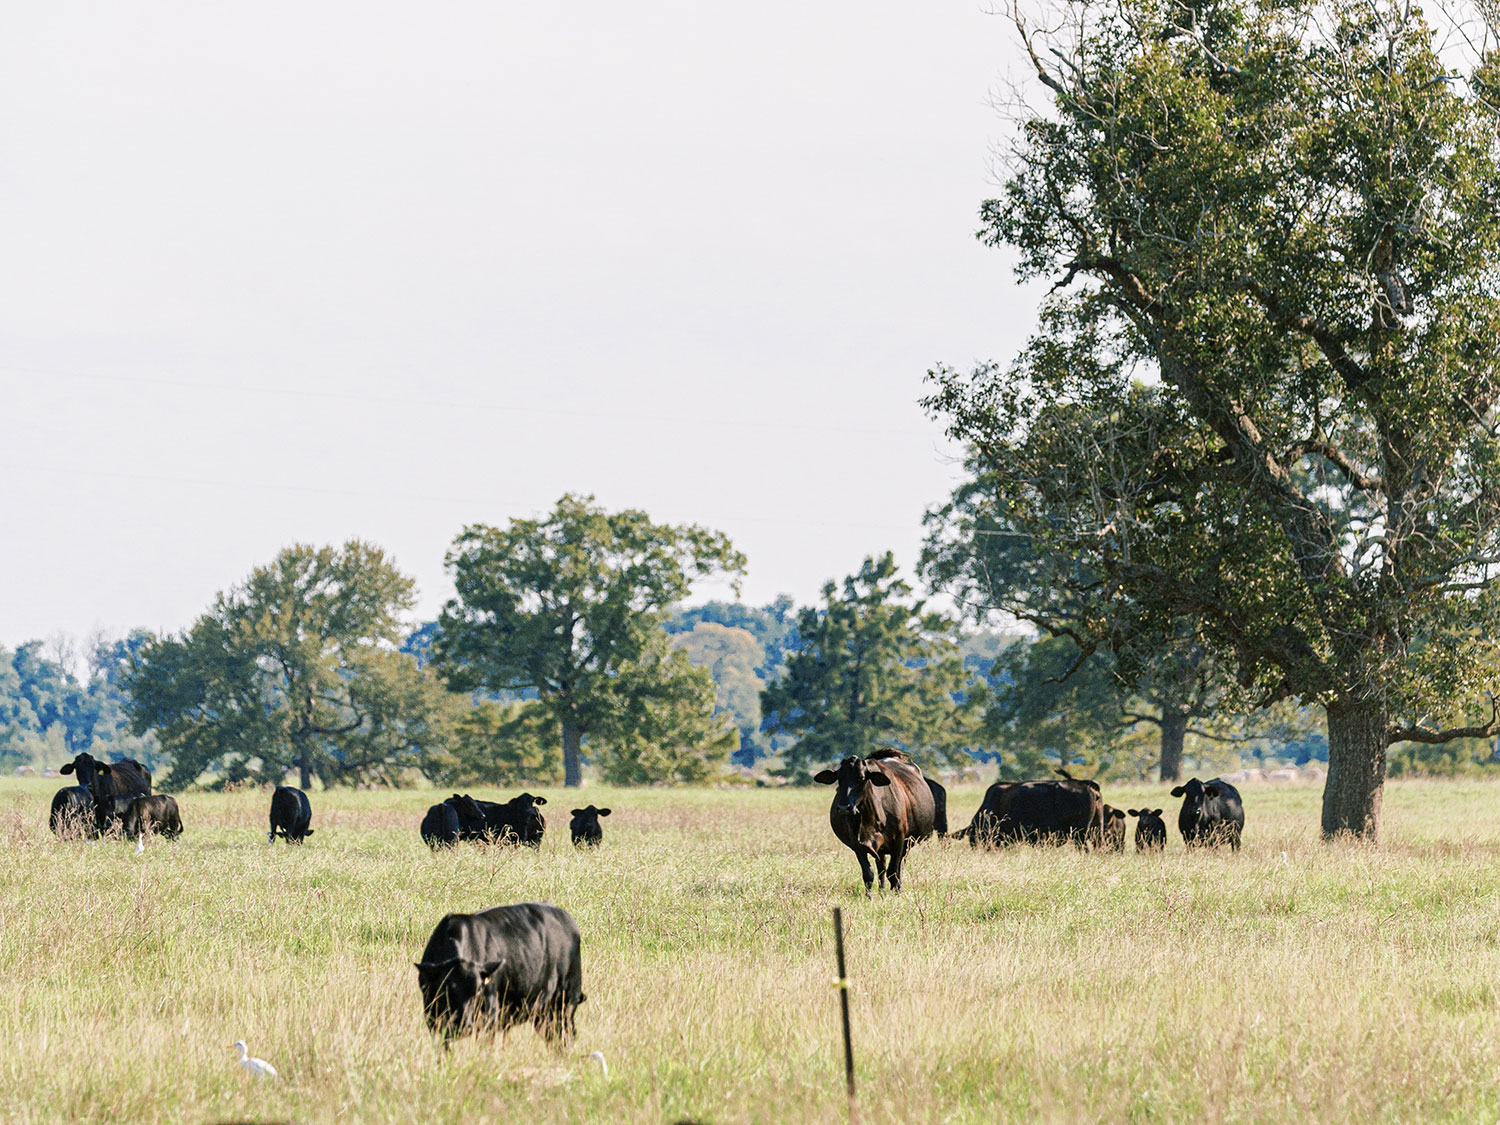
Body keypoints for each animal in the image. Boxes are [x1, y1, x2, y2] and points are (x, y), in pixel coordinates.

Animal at [816, 750, 930, 900]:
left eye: (861, 778)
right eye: (839, 778)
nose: (844, 807)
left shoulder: (899, 840)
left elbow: (893, 872)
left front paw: (897, 895)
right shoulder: (857, 845)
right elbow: (868, 873)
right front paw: (869, 897)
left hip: (906, 845)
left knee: (897, 868)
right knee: (881, 867)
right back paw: (882, 892)